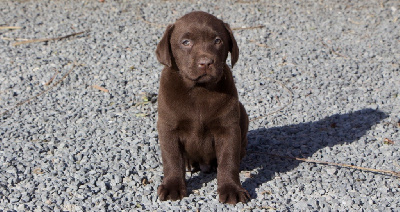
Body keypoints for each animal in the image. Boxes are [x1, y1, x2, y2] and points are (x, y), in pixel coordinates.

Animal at [155, 10, 248, 205]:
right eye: (186, 42)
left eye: (217, 40)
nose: (205, 62)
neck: (199, 89)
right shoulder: (168, 128)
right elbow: (172, 159)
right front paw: (172, 187)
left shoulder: (228, 128)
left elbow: (228, 160)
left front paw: (231, 189)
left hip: (242, 113)